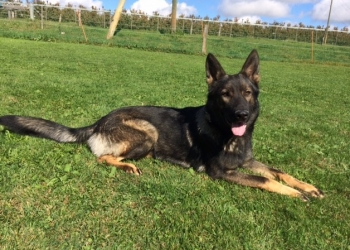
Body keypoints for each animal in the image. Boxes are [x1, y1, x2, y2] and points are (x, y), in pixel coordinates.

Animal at [0, 50, 324, 201]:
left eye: (247, 93)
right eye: (225, 95)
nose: (241, 115)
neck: (227, 135)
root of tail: (99, 121)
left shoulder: (247, 161)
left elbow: (278, 171)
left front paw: (307, 186)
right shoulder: (223, 173)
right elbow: (266, 180)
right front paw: (298, 194)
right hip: (147, 133)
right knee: (102, 157)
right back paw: (127, 166)